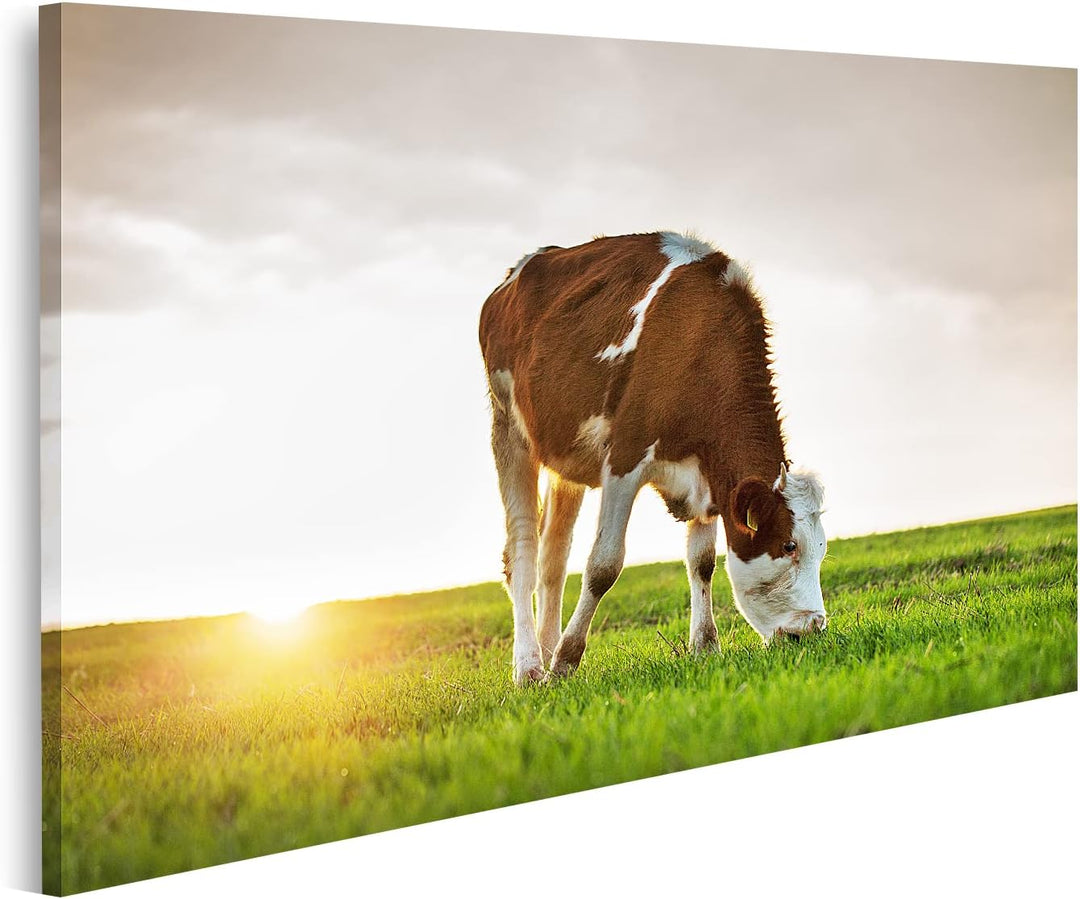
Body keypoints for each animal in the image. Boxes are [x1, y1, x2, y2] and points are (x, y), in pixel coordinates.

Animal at [479, 231, 827, 684]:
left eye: (822, 548)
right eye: (788, 545)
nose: (813, 629)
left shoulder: (708, 473)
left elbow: (702, 562)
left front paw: (705, 647)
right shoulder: (625, 457)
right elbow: (604, 565)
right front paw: (568, 660)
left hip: (565, 460)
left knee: (553, 556)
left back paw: (547, 645)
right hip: (508, 427)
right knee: (522, 551)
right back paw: (530, 666)